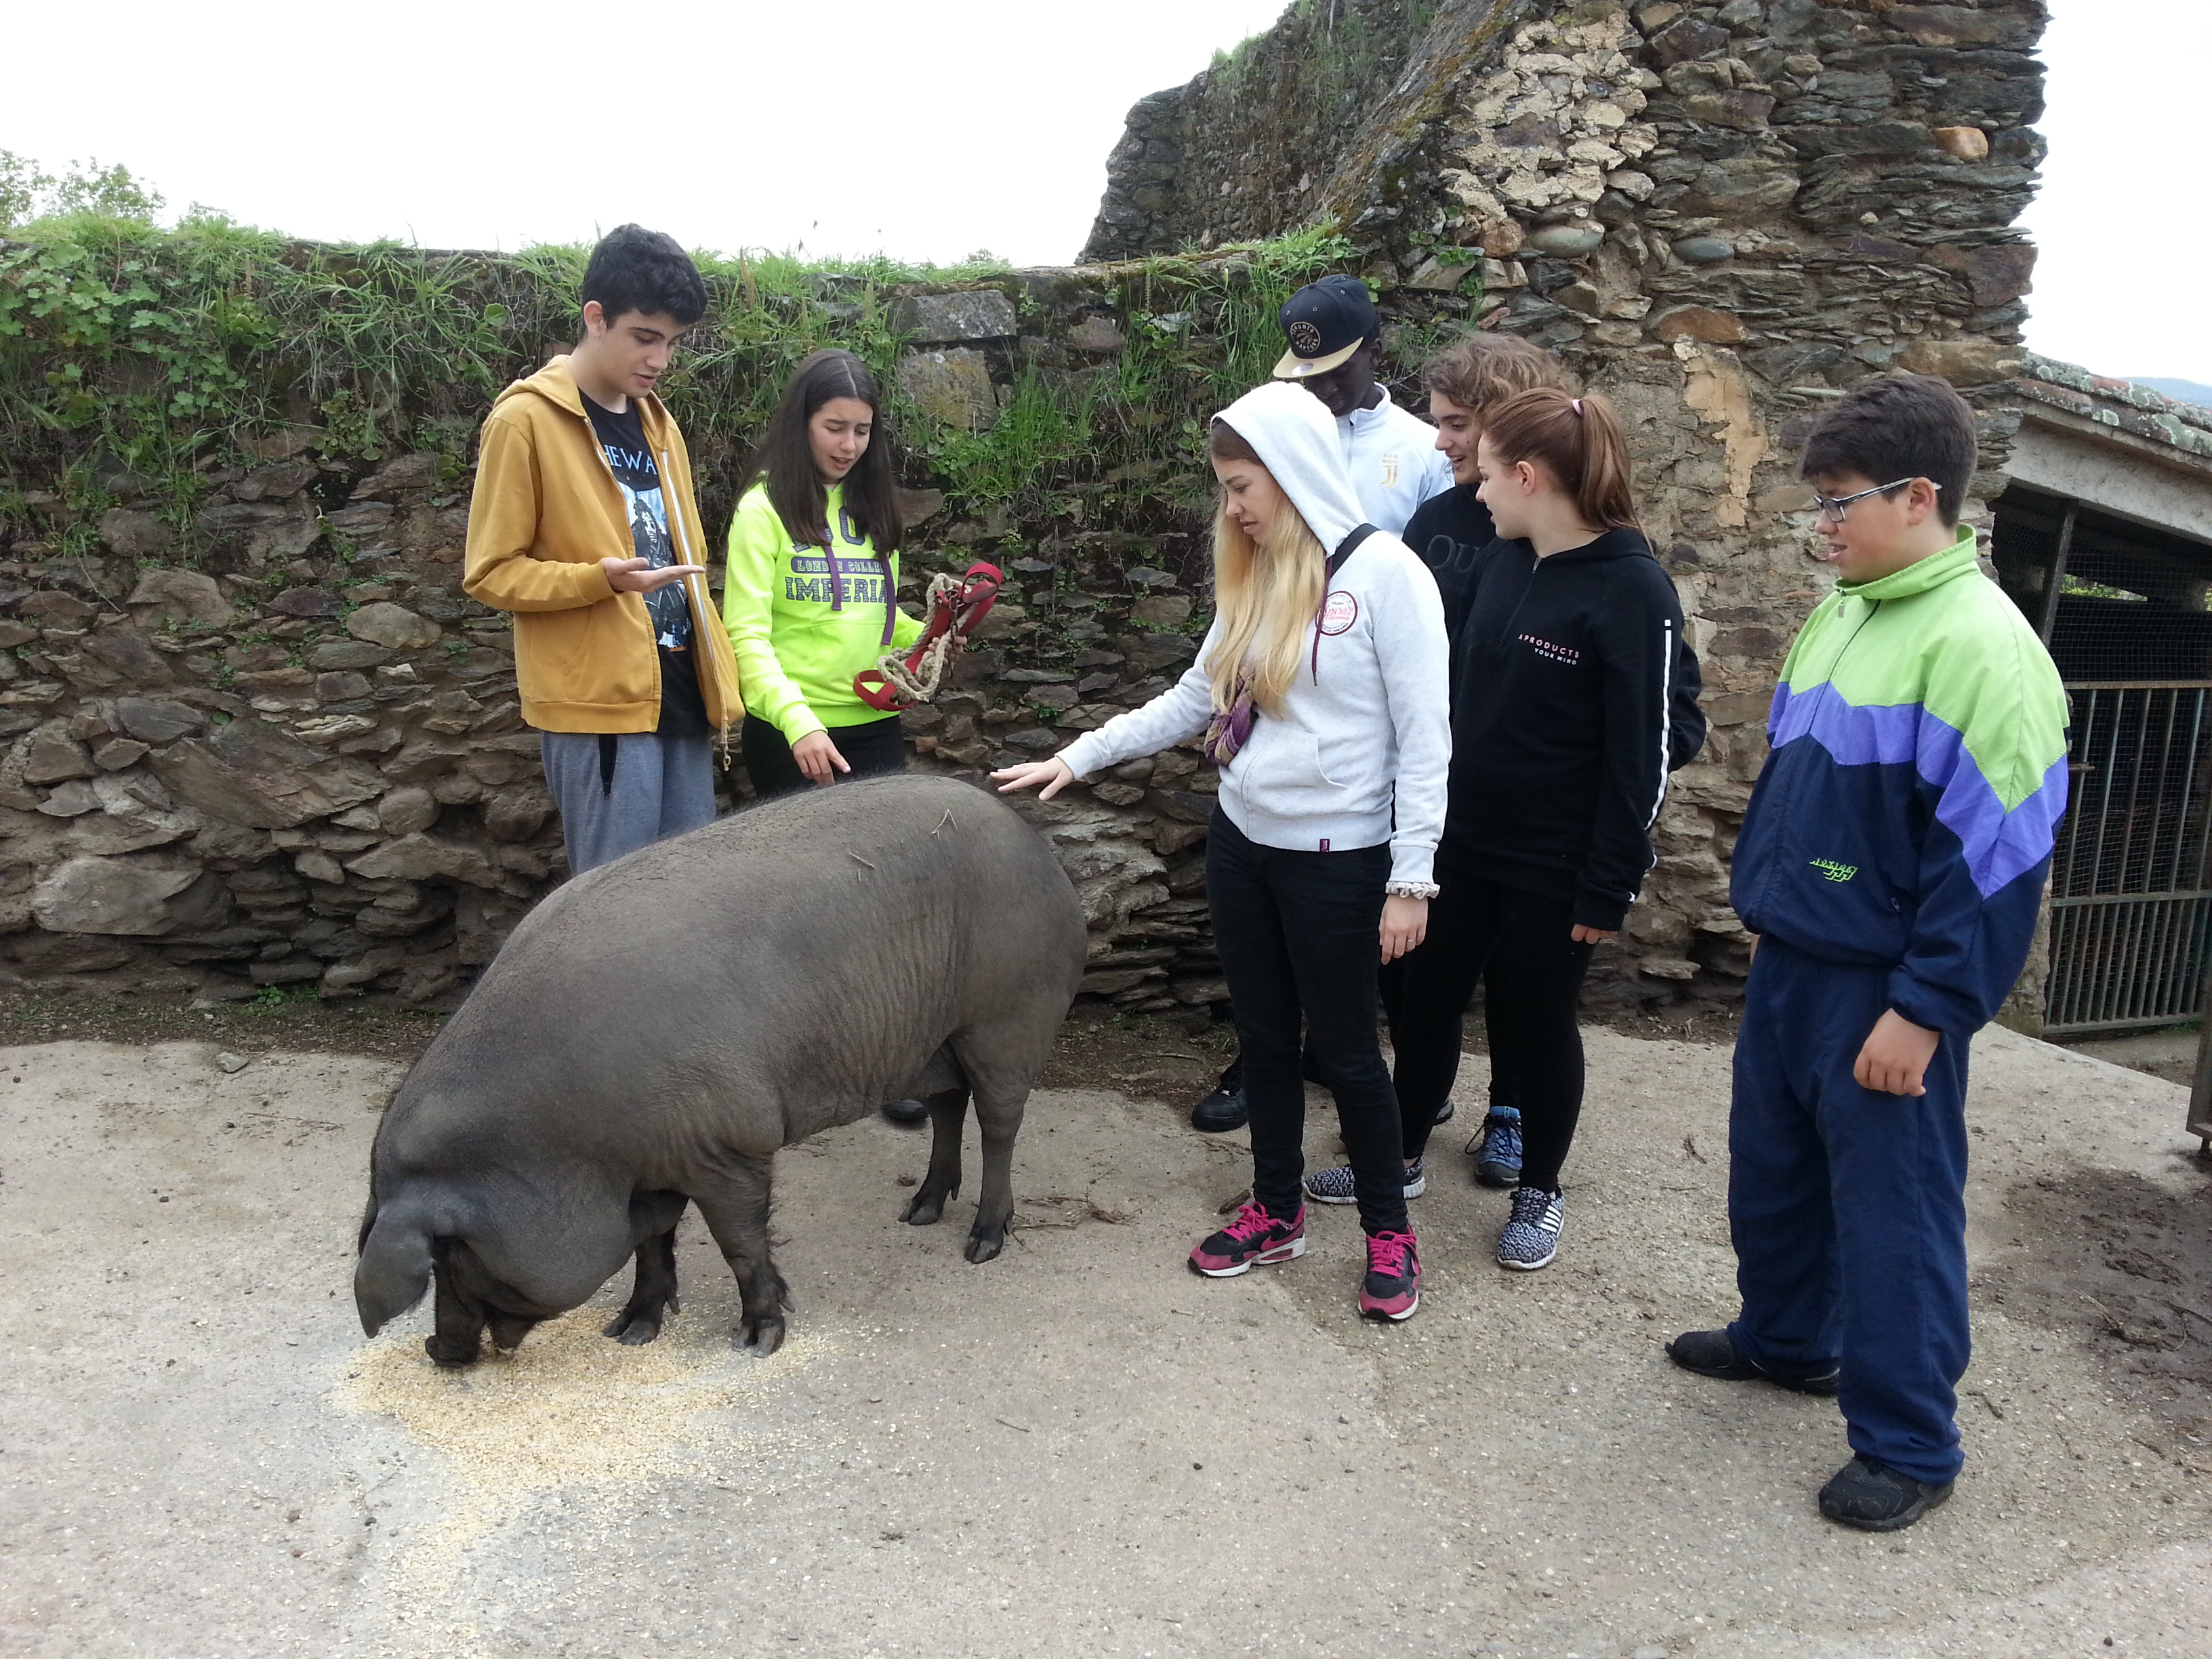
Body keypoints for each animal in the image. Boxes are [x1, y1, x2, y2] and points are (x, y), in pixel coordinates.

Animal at [347, 778, 1097, 1362]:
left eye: (449, 1255)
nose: (437, 1349)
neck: (569, 1143)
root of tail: (1038, 849)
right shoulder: (658, 1163)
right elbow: (653, 1243)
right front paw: (630, 1332)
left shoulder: (729, 1142)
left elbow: (740, 1241)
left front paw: (759, 1339)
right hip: (932, 1044)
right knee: (947, 1108)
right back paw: (917, 1212)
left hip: (1006, 1017)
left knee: (999, 1123)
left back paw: (981, 1244)